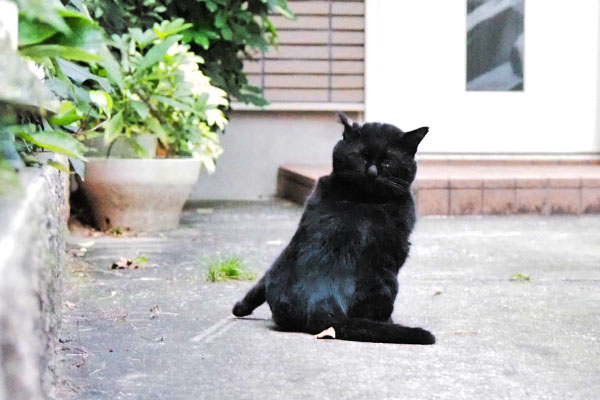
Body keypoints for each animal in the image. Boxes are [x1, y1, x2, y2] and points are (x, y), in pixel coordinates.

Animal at [232, 112, 434, 344]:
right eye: (361, 157)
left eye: (387, 162)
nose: (372, 172)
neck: (362, 196)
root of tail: (322, 300)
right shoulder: (398, 246)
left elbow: (259, 283)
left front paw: (241, 308)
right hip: (386, 278)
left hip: (283, 261)